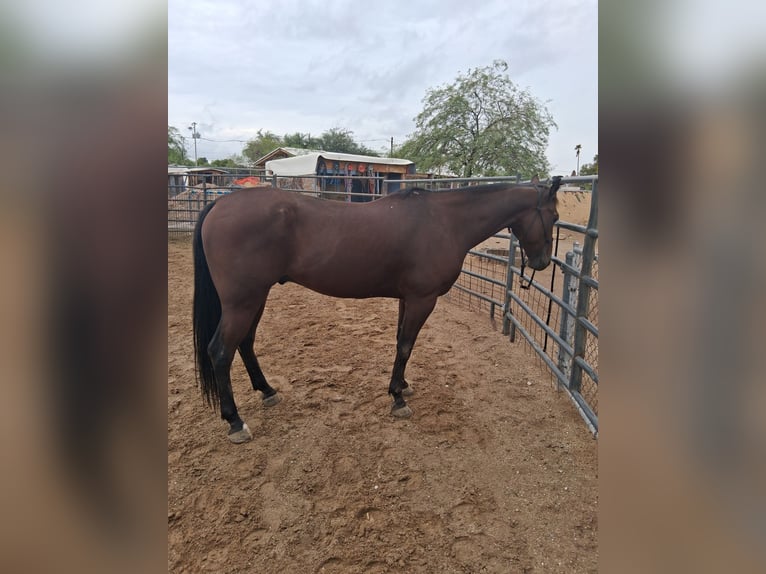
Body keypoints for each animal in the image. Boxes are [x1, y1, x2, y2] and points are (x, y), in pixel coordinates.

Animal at [192, 175, 562, 443]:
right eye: (555, 216)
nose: (542, 263)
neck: (444, 221)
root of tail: (220, 202)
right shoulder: (422, 299)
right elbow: (406, 345)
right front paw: (398, 399)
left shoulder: (407, 298)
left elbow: (401, 343)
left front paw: (402, 385)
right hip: (243, 301)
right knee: (221, 351)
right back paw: (235, 422)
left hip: (255, 298)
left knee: (245, 344)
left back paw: (267, 391)